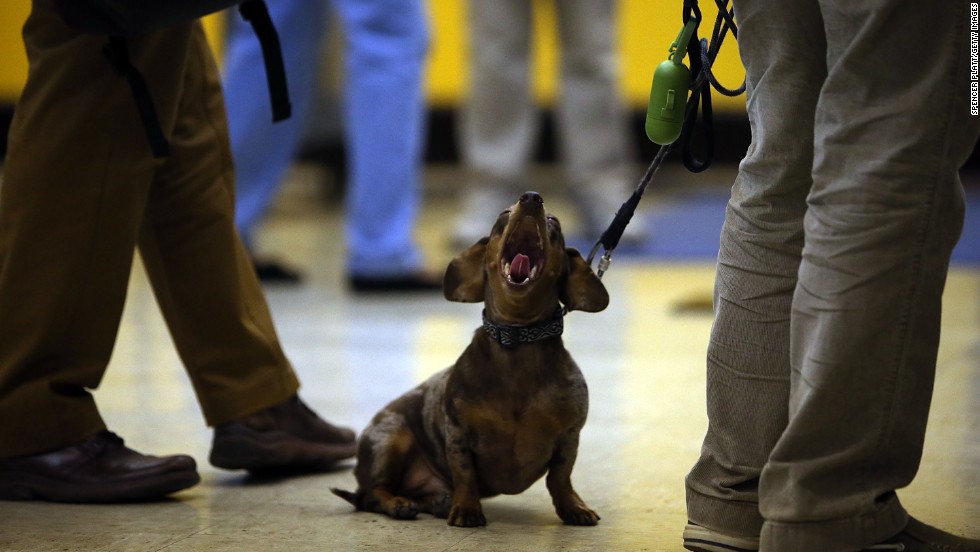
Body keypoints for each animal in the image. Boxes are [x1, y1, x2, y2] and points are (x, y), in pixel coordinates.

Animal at [336, 191, 612, 528]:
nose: (532, 197)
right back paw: (399, 503)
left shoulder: (569, 437)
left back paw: (438, 501)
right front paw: (467, 510)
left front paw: (573, 507)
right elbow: (464, 475)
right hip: (391, 437)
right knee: (374, 494)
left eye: (554, 222)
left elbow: (560, 478)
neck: (517, 341)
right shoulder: (458, 434)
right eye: (503, 215)